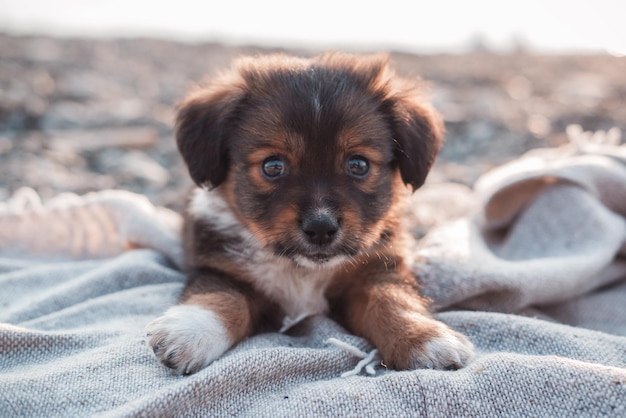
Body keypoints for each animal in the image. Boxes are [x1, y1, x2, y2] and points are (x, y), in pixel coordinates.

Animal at [146, 52, 472, 376]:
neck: (302, 270)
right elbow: (222, 294)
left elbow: (391, 298)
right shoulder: (219, 265)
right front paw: (190, 329)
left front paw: (423, 336)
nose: (320, 228)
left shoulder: (378, 267)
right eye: (272, 166)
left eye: (359, 164)